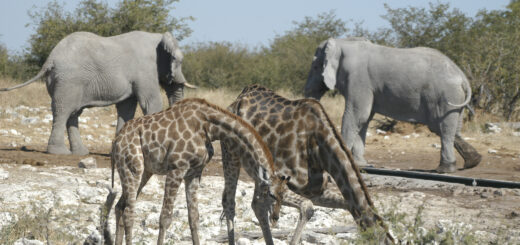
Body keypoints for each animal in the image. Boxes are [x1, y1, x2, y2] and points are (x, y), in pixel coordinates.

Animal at [1, 30, 194, 155]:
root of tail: (50, 59)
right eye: (179, 61)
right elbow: (151, 103)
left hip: (64, 82)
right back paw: (59, 153)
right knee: (63, 111)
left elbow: (126, 109)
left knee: (73, 113)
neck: (158, 37)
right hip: (69, 81)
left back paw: (80, 153)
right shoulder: (145, 70)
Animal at [110, 98, 288, 245]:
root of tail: (117, 139)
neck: (208, 127)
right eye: (271, 194)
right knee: (128, 212)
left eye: (283, 195)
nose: (275, 217)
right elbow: (165, 217)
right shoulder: (176, 169)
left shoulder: (194, 172)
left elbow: (194, 218)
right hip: (133, 167)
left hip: (145, 171)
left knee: (120, 206)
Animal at [222, 84, 394, 245]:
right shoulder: (281, 183)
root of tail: (240, 96)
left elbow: (345, 205)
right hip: (231, 153)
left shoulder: (314, 190)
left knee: (257, 205)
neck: (319, 146)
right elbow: (307, 207)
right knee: (230, 203)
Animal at [306, 37, 482, 173]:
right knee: (450, 128)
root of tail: (462, 77)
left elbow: (357, 115)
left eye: (315, 67)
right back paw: (473, 162)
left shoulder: (358, 80)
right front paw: (361, 164)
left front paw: (344, 161)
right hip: (454, 98)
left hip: (445, 96)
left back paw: (444, 170)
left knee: (443, 128)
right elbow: (364, 119)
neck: (343, 42)